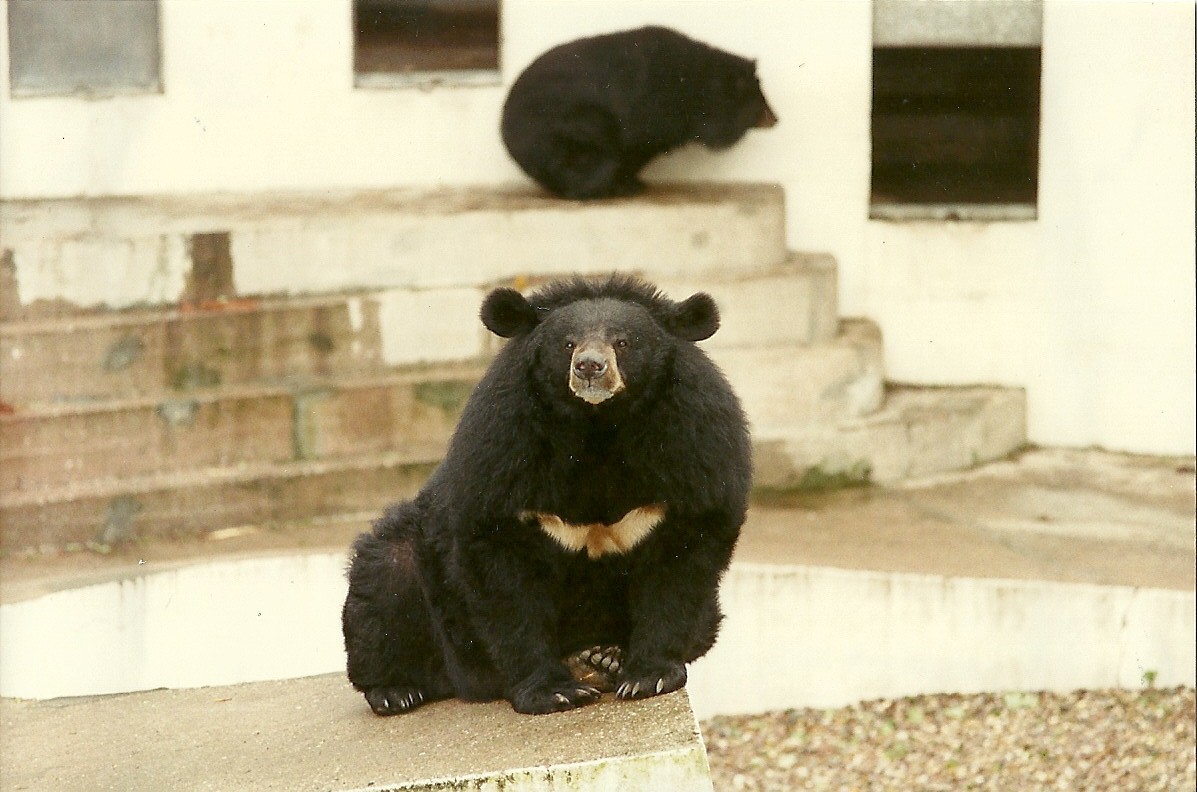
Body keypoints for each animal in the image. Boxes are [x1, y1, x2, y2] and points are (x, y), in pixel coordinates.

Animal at [342, 274, 752, 715]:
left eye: (624, 341)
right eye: (567, 343)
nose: (590, 367)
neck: (598, 425)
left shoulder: (694, 441)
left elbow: (683, 558)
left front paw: (648, 676)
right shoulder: (504, 444)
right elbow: (501, 570)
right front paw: (555, 692)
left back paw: (605, 657)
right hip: (419, 576)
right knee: (384, 582)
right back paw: (396, 690)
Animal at [500, 25, 778, 200]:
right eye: (758, 100)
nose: (775, 119)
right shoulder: (650, 117)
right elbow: (634, 149)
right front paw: (626, 185)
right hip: (570, 133)